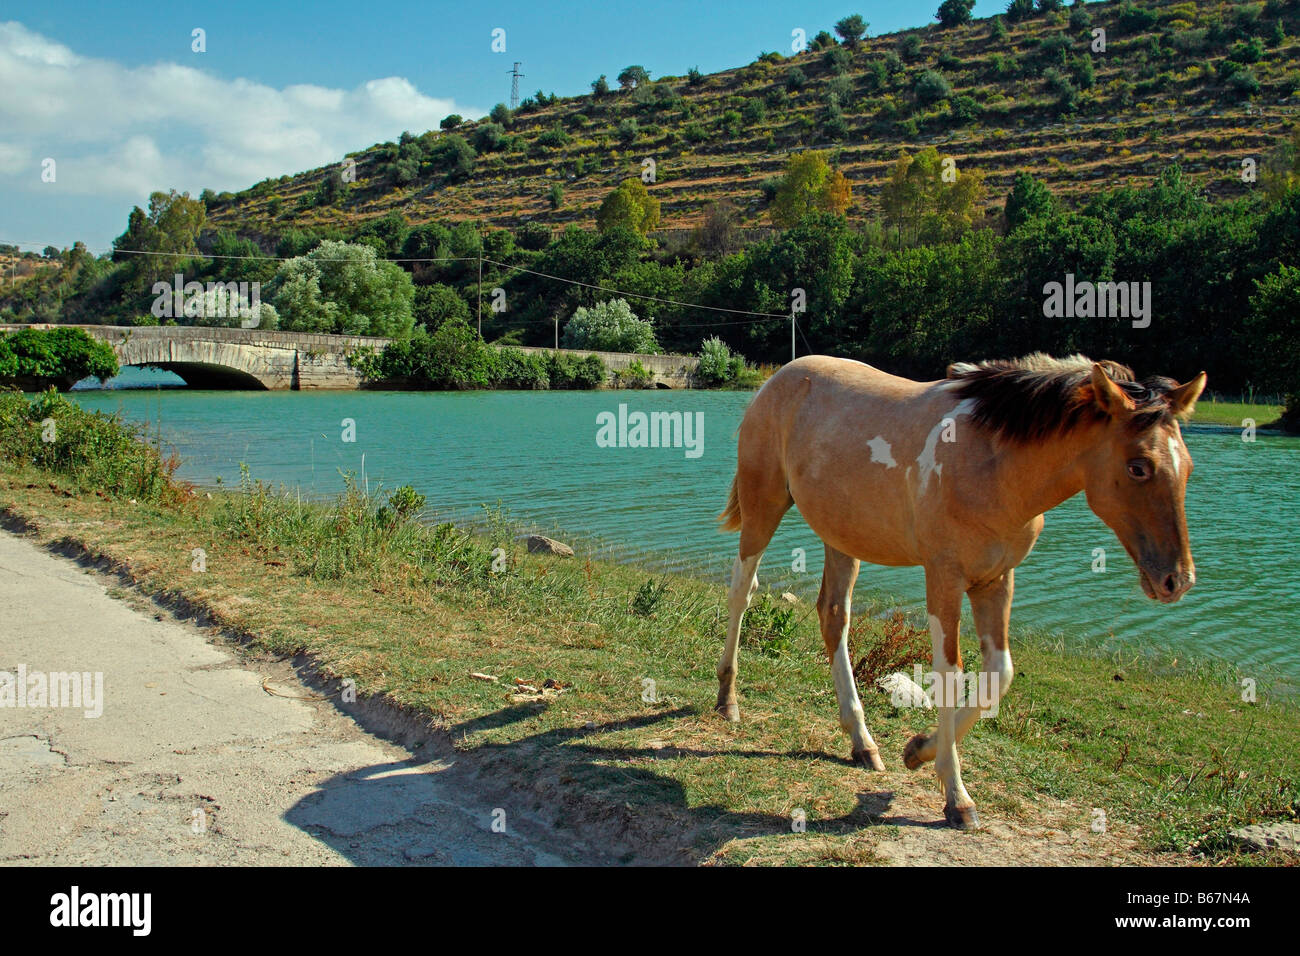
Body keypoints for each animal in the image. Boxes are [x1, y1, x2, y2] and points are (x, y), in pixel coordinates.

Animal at [715, 353, 1206, 829]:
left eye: (1188, 468)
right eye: (1138, 467)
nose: (1176, 580)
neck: (992, 463)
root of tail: (777, 379)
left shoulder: (996, 580)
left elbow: (999, 673)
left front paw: (918, 750)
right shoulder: (944, 579)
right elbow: (951, 675)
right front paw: (956, 797)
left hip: (842, 537)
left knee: (834, 616)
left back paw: (862, 742)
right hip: (764, 507)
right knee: (742, 590)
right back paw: (728, 700)